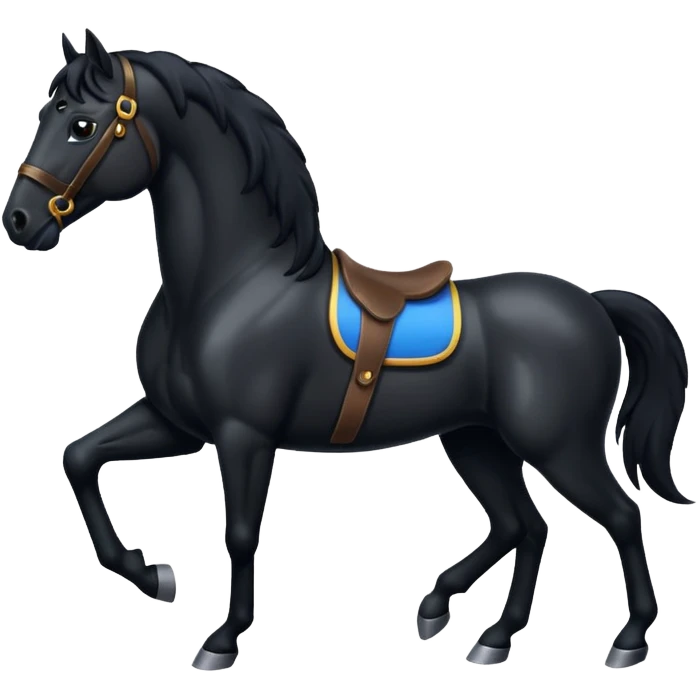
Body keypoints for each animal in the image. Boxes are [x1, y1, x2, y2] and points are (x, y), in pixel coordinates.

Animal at [2, 29, 692, 672]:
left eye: (81, 124)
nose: (20, 222)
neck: (232, 284)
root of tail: (594, 304)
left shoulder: (242, 435)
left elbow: (240, 532)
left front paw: (222, 639)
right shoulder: (177, 422)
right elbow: (80, 458)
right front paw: (152, 575)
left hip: (558, 446)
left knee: (619, 517)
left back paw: (626, 640)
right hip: (475, 440)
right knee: (524, 524)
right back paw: (476, 626)